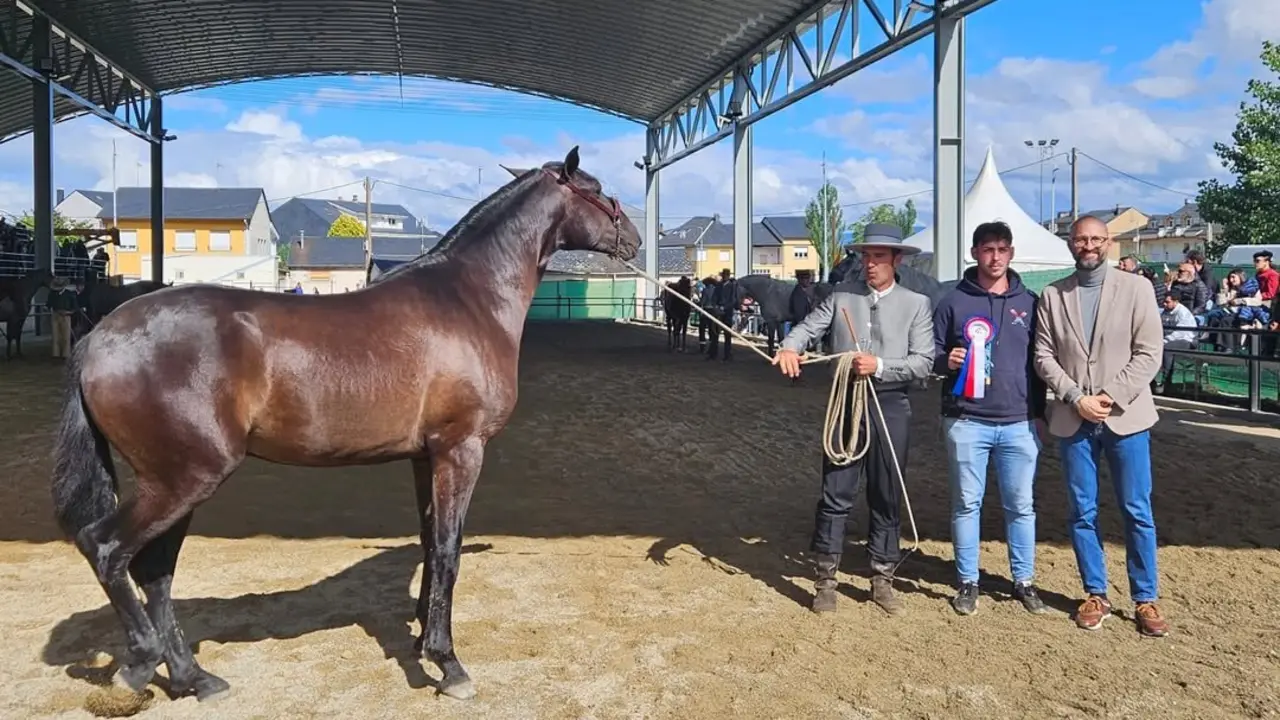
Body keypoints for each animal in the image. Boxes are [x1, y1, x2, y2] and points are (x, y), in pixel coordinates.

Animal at [50, 146, 640, 704]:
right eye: (596, 190)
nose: (633, 238)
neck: (467, 298)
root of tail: (101, 336)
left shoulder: (424, 455)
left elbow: (429, 542)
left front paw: (422, 637)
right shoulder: (461, 449)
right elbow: (448, 550)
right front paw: (448, 663)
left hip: (177, 483)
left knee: (155, 570)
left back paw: (196, 678)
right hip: (182, 479)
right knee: (108, 549)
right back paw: (139, 664)